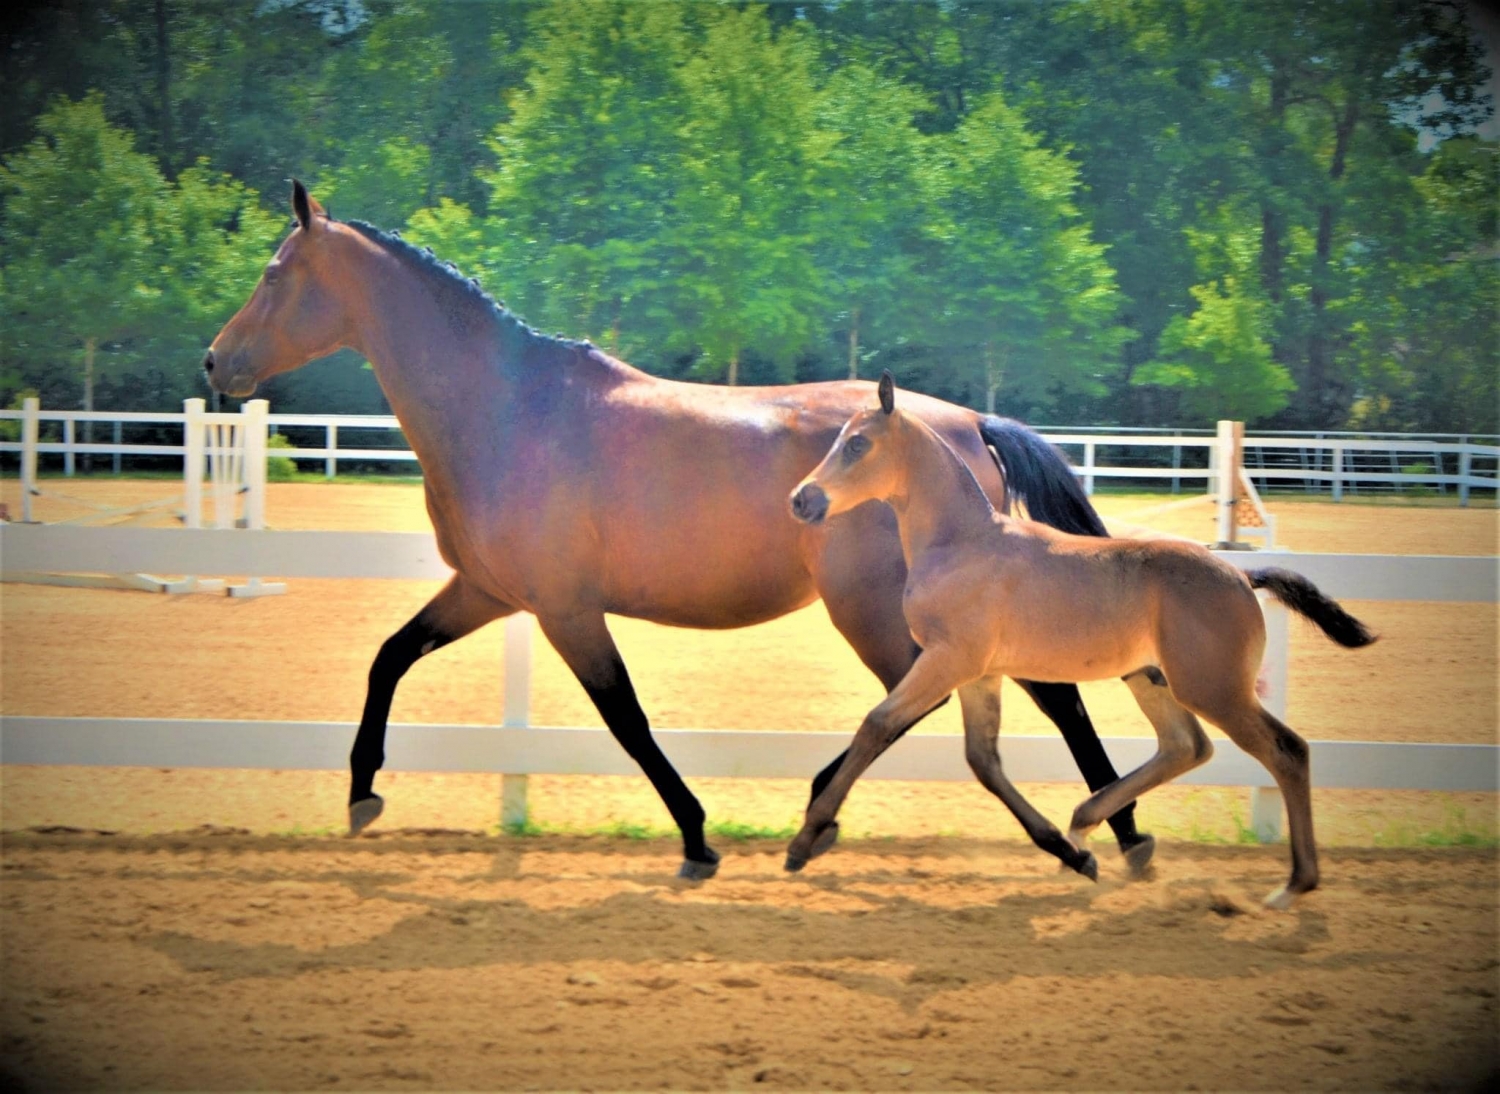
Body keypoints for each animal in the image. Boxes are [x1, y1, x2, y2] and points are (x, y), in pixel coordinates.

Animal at [204, 180, 1153, 879]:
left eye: (275, 271)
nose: (216, 361)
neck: (507, 414)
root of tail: (970, 424)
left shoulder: (565, 609)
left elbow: (626, 719)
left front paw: (698, 839)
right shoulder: (488, 591)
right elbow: (390, 657)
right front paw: (362, 793)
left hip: (889, 613)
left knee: (967, 700)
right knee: (1003, 702)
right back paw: (1105, 831)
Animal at [786, 372, 1375, 908]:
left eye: (857, 443)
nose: (800, 500)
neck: (964, 542)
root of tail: (1241, 575)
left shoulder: (947, 660)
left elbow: (878, 724)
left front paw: (806, 837)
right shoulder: (980, 672)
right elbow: (983, 759)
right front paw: (1071, 855)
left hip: (1215, 689)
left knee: (1286, 751)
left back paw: (1294, 884)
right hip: (1156, 680)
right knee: (1186, 746)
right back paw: (1085, 823)